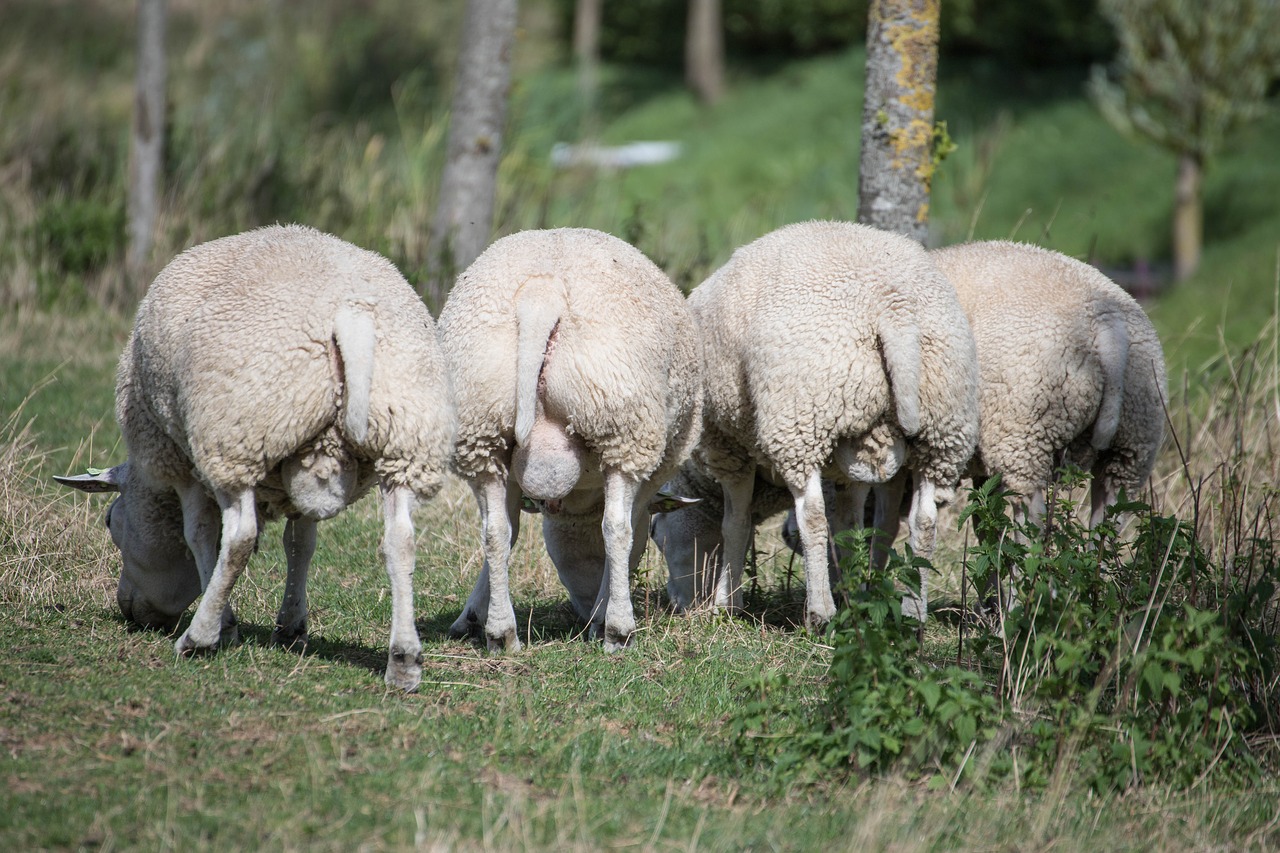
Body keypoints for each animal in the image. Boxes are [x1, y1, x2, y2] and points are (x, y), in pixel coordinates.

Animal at [56, 225, 455, 691]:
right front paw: (292, 625)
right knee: (401, 542)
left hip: (236, 436)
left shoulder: (182, 462)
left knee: (240, 536)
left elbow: (201, 536)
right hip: (406, 438)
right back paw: (403, 661)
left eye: (110, 521)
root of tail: (350, 316)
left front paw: (225, 623)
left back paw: (199, 637)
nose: (130, 610)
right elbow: (301, 544)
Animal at [437, 225, 701, 650]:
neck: (580, 502)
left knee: (494, 532)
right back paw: (617, 630)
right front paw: (605, 618)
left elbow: (510, 532)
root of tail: (541, 292)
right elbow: (625, 532)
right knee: (616, 528)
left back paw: (502, 634)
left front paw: (473, 615)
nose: (586, 608)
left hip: (480, 428)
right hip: (623, 426)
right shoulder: (654, 470)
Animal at [680, 219, 977, 625]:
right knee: (925, 521)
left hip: (801, 418)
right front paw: (852, 594)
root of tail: (893, 305)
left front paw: (726, 604)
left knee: (813, 516)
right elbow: (850, 525)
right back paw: (912, 614)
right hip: (944, 423)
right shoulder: (854, 464)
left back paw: (819, 612)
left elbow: (735, 523)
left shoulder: (728, 448)